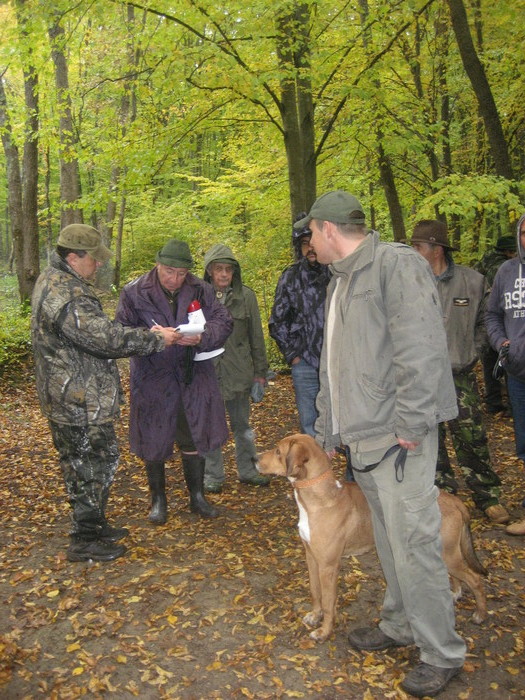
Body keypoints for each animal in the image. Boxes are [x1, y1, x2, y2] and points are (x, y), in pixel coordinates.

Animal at [258, 434, 488, 644]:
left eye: (278, 451)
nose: (255, 458)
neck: (320, 498)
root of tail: (455, 501)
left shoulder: (328, 565)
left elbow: (328, 602)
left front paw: (324, 631)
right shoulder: (311, 557)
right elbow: (315, 592)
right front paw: (315, 616)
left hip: (449, 555)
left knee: (475, 580)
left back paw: (480, 614)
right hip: (445, 553)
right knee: (457, 577)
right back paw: (455, 594)